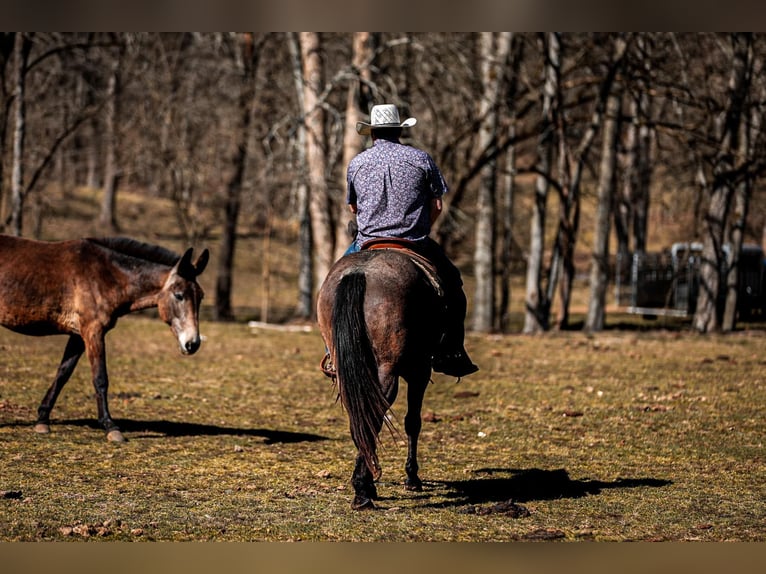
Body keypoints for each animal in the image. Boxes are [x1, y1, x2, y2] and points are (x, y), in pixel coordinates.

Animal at [0, 236, 210, 444]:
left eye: (200, 297)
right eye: (179, 295)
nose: (192, 343)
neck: (104, 275)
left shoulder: (78, 336)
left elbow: (63, 374)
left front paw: (42, 420)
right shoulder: (93, 332)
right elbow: (100, 379)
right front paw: (110, 427)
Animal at [316, 248, 448, 512]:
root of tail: (359, 273)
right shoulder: (419, 373)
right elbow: (413, 422)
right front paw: (412, 478)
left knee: (360, 416)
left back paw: (364, 486)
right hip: (388, 371)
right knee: (375, 414)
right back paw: (363, 491)